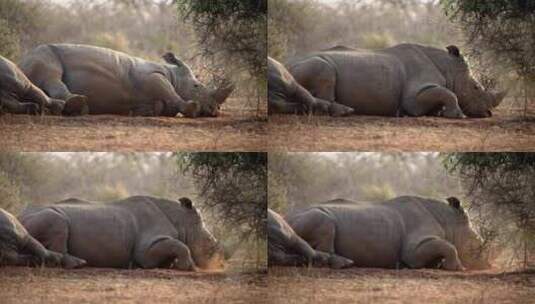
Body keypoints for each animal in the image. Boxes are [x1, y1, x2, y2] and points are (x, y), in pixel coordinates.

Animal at [18, 196, 224, 270]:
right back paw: (79, 264)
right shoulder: (146, 249)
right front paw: (188, 268)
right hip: (44, 217)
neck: (181, 220)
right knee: (57, 222)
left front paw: (173, 265)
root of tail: (19, 216)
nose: (216, 263)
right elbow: (179, 245)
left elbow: (176, 246)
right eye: (210, 244)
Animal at [21, 44, 234, 117]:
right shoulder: (153, 77)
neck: (174, 75)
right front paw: (192, 109)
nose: (215, 111)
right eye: (197, 86)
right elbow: (170, 93)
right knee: (51, 75)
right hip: (43, 53)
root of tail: (21, 61)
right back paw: (78, 105)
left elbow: (159, 104)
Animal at [284, 44, 506, 117]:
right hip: (310, 65)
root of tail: (285, 63)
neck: (448, 69)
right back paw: (345, 112)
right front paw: (458, 116)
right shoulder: (414, 96)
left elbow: (444, 94)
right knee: (324, 70)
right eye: (476, 88)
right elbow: (448, 93)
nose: (488, 113)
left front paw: (439, 113)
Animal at [286, 196, 492, 270]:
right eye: (478, 244)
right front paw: (457, 268)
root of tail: (286, 217)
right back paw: (346, 264)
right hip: (311, 217)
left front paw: (439, 265)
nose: (488, 265)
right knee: (324, 222)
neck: (449, 222)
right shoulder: (413, 250)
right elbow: (448, 246)